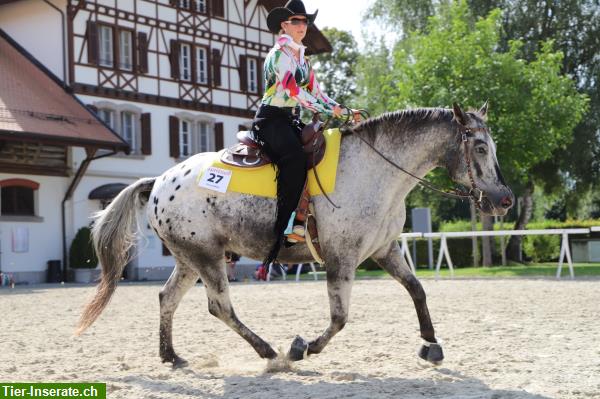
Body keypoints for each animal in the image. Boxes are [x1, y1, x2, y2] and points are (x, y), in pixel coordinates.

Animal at [77, 102, 512, 368]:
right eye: (479, 146)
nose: (505, 199)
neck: (376, 169)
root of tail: (159, 181)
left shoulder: (384, 250)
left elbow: (417, 290)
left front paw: (431, 344)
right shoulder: (341, 258)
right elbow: (339, 318)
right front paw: (303, 346)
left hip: (188, 258)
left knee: (167, 298)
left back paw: (171, 356)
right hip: (206, 258)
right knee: (220, 308)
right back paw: (269, 351)